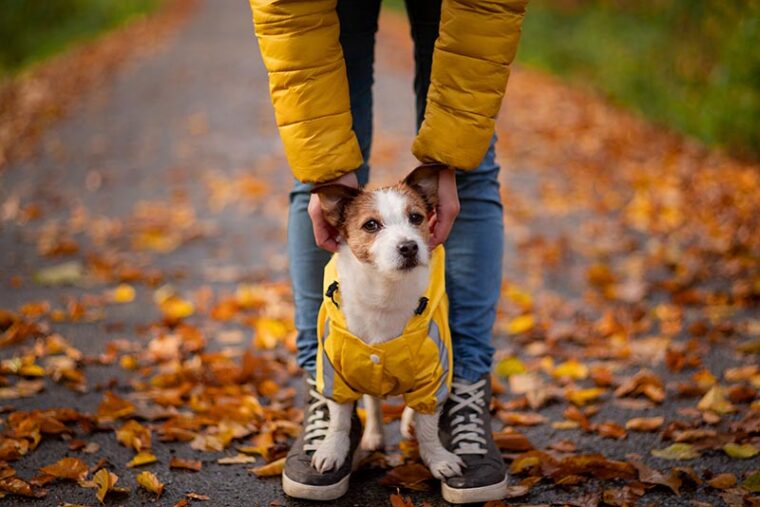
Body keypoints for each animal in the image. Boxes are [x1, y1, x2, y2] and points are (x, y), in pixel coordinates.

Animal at [308, 168, 464, 484]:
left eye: (416, 217)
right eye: (371, 225)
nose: (409, 246)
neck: (385, 294)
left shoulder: (434, 373)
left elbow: (428, 425)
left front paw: (437, 459)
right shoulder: (335, 372)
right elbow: (340, 419)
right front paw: (333, 450)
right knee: (373, 400)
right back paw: (374, 434)